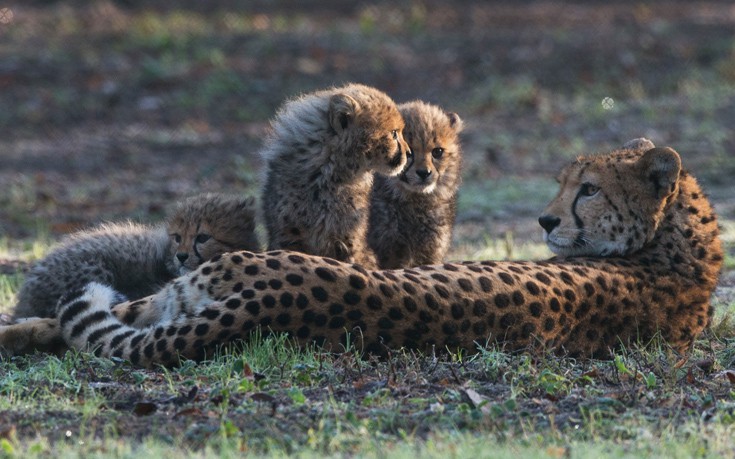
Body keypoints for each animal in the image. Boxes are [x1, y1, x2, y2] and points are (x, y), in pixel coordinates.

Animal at [2, 144, 720, 366]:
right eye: (567, 182)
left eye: (588, 189)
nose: (545, 218)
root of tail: (269, 305)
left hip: (180, 292)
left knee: (71, 321)